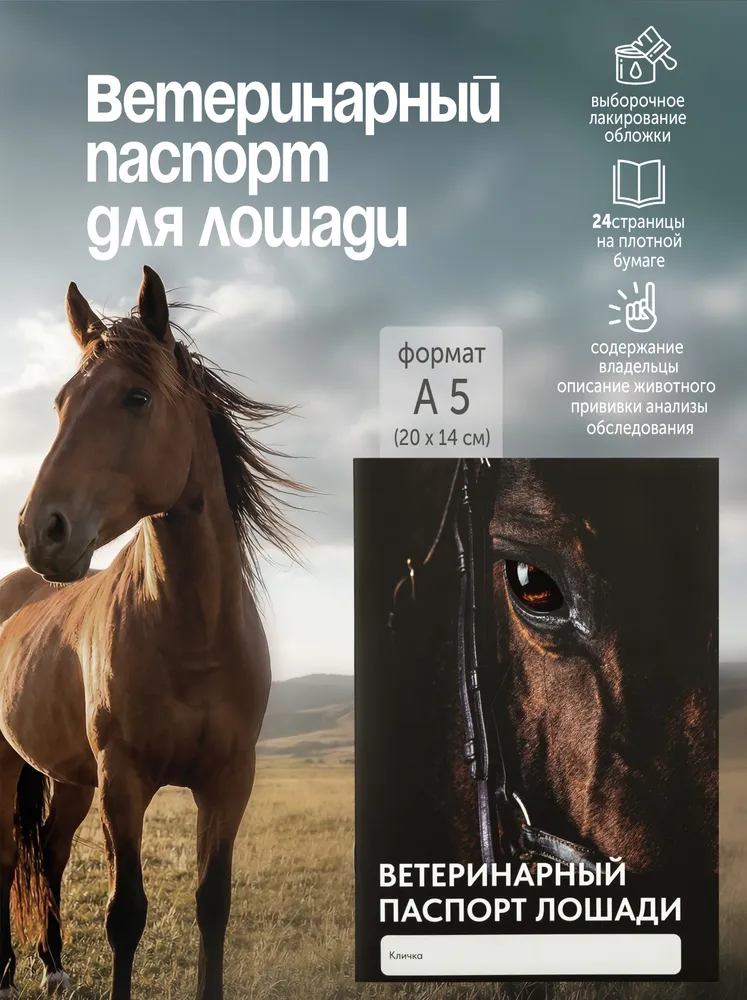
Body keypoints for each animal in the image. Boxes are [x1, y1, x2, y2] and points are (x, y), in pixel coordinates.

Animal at [0, 267, 302, 999]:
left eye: (136, 398)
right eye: (60, 402)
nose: (39, 530)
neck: (192, 633)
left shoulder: (229, 780)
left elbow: (212, 904)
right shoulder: (125, 780)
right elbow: (125, 915)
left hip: (70, 780)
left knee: (48, 854)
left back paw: (51, 965)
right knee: (6, 860)